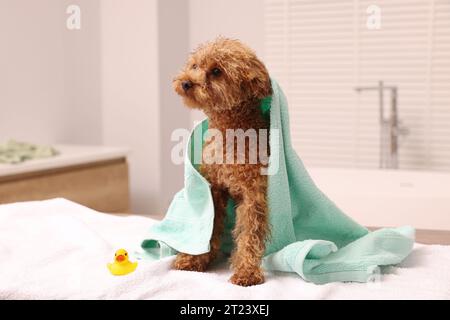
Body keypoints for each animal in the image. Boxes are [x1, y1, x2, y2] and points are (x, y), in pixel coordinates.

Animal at [171, 38, 270, 288]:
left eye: (216, 71)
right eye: (195, 65)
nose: (186, 82)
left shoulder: (252, 194)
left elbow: (249, 233)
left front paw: (247, 272)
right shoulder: (213, 189)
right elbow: (210, 224)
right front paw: (194, 259)